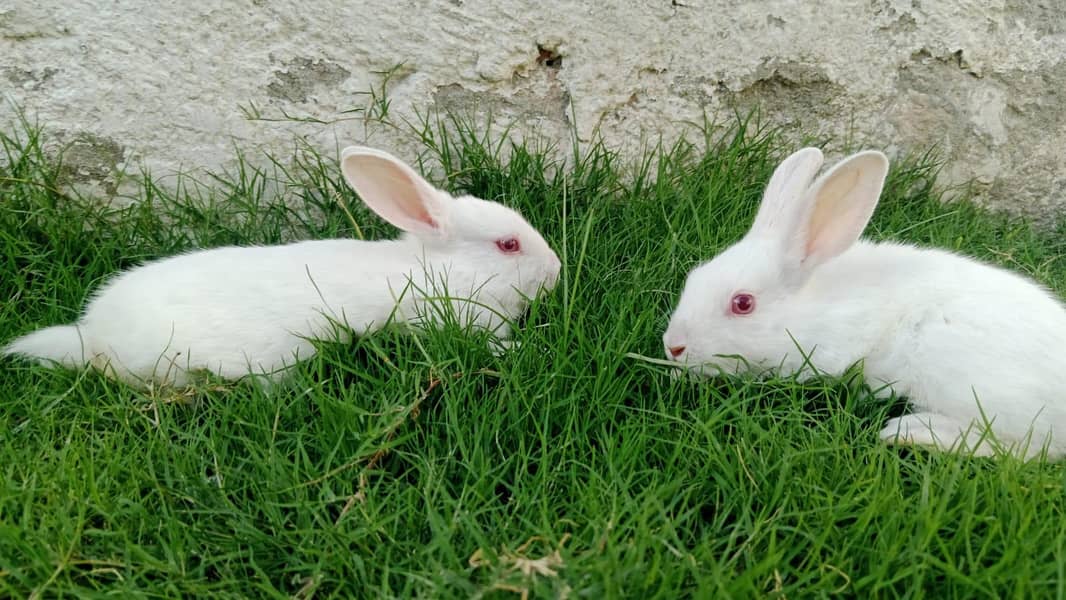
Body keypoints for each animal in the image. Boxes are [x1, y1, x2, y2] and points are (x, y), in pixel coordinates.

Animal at [3, 146, 562, 388]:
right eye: (509, 245)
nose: (556, 270)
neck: (440, 274)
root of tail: (91, 335)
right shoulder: (457, 322)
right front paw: (524, 349)